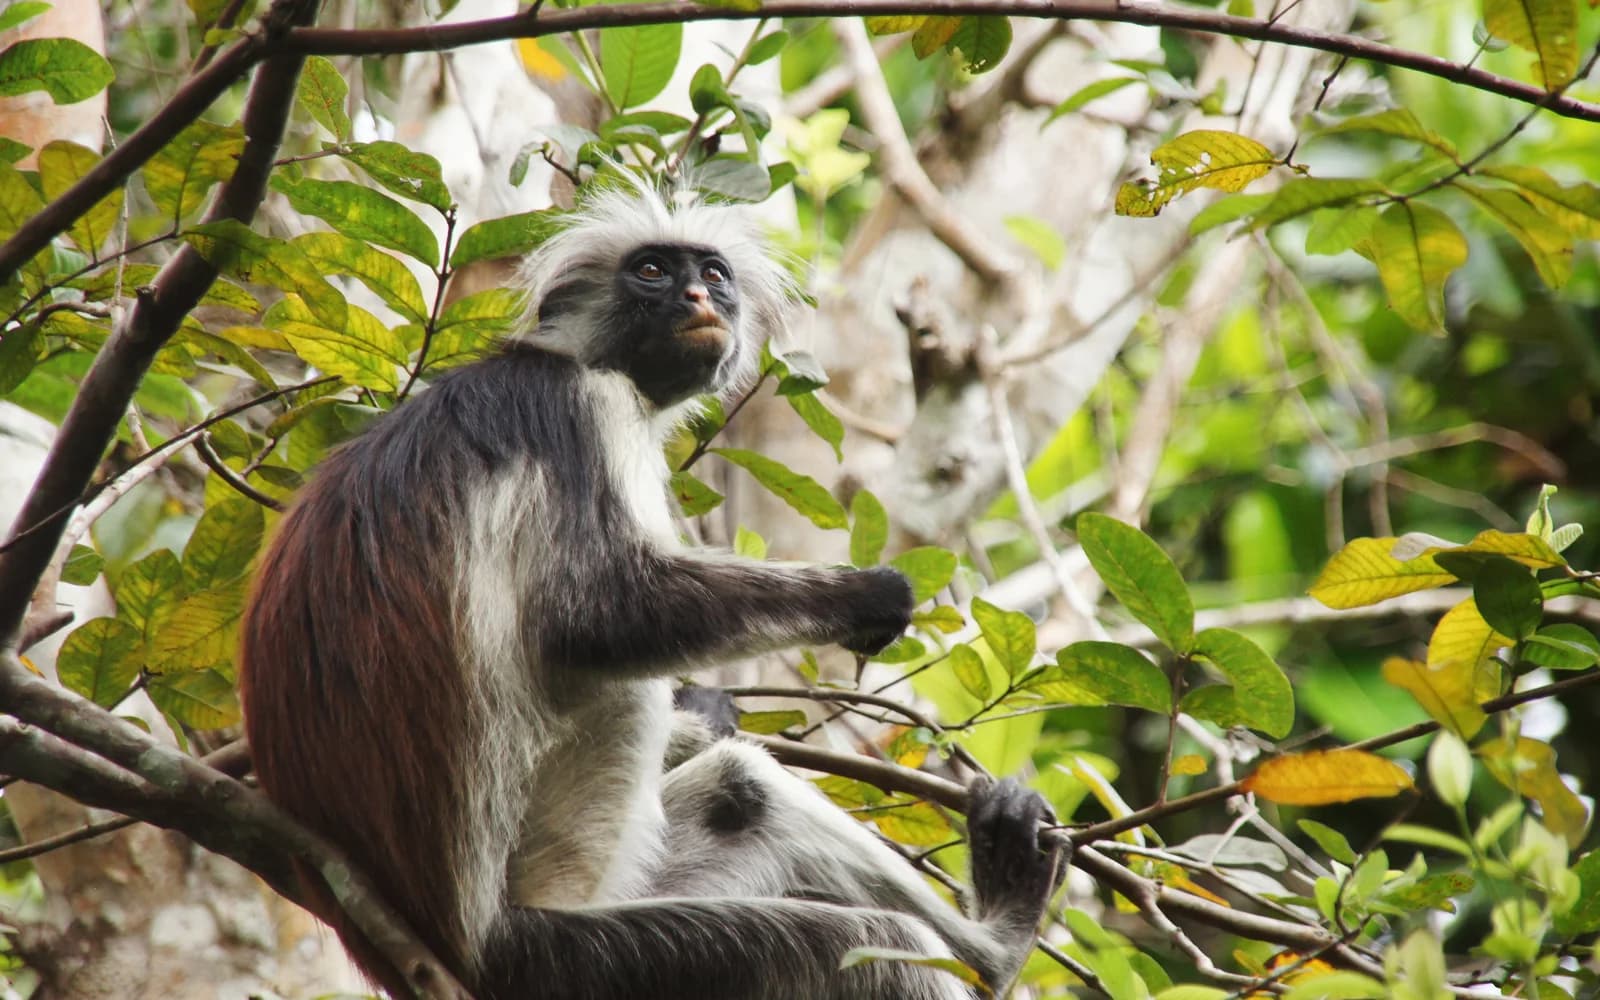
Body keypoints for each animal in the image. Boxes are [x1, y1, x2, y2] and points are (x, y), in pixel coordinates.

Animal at [238, 180, 1063, 1000]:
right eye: (653, 272)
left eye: (713, 274)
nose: (699, 296)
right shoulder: (582, 407)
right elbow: (598, 617)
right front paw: (866, 597)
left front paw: (708, 711)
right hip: (569, 952)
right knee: (876, 943)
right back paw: (993, 945)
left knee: (742, 792)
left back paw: (992, 946)